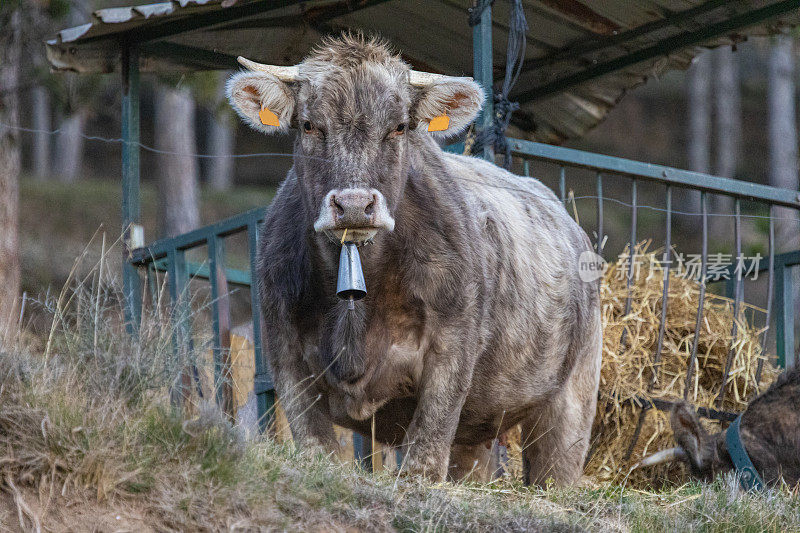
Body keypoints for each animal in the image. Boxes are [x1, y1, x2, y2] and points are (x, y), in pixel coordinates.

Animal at [225, 34, 600, 486]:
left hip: (572, 398)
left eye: (400, 126)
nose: (354, 205)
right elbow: (317, 448)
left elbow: (425, 456)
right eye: (309, 124)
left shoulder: (452, 349)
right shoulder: (285, 353)